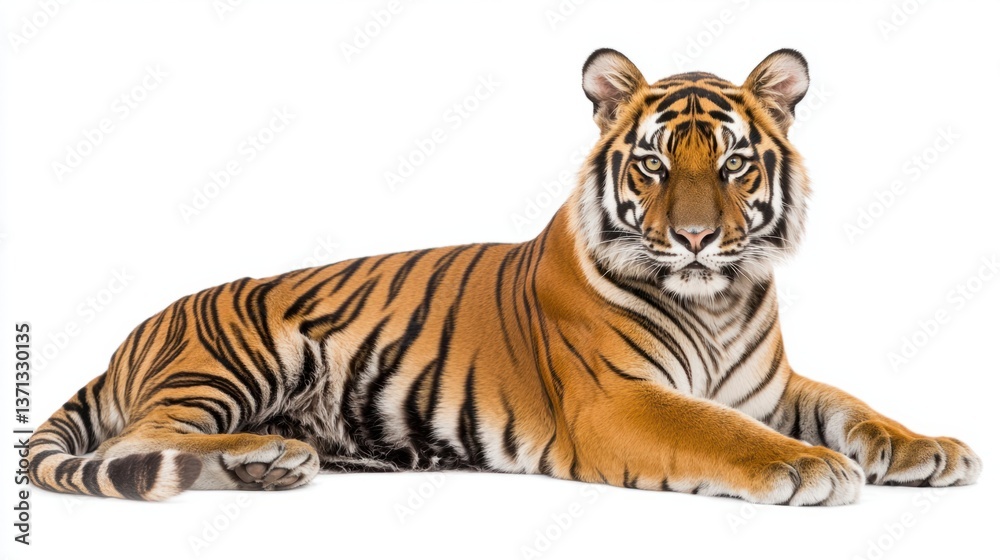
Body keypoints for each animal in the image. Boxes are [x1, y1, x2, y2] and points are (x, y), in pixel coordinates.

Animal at [28, 48, 981, 506]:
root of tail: (128, 339)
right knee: (135, 443)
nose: (698, 238)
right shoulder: (618, 399)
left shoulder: (770, 385)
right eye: (654, 166)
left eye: (734, 164)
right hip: (240, 357)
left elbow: (852, 406)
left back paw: (275, 464)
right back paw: (271, 453)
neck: (715, 299)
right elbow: (722, 432)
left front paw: (933, 449)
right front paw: (810, 466)